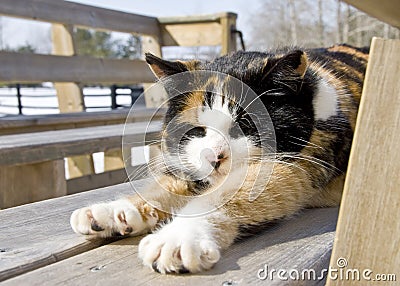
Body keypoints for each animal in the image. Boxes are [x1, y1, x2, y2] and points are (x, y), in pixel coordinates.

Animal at [71, 44, 368, 272]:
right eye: (197, 130)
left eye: (245, 126)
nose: (213, 156)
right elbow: (166, 185)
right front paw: (113, 212)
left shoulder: (298, 161)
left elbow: (226, 194)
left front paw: (178, 238)